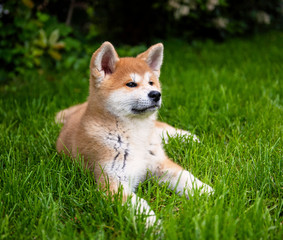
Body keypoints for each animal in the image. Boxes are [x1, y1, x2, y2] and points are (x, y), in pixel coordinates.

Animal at [56, 41, 214, 227]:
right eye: (131, 84)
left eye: (151, 83)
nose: (156, 94)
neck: (136, 134)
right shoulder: (113, 181)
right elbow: (140, 207)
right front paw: (155, 226)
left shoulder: (160, 163)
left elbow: (188, 178)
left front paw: (210, 193)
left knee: (163, 128)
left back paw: (189, 137)